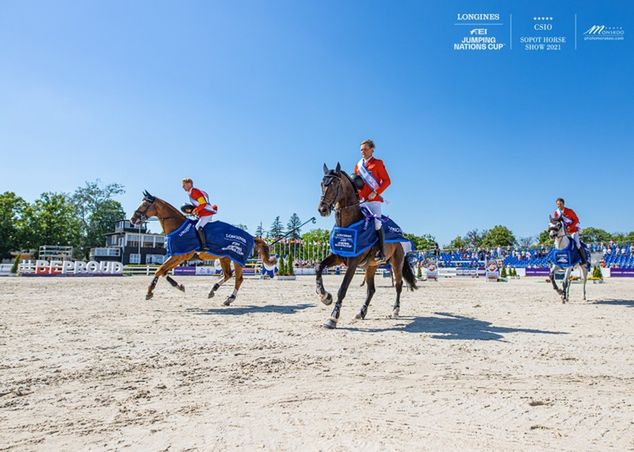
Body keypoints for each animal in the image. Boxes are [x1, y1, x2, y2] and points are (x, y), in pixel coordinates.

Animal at [130, 192, 274, 306]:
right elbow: (164, 271)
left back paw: (230, 299)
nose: (132, 220)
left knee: (238, 279)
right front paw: (179, 286)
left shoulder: (180, 256)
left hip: (237, 258)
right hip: (225, 258)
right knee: (228, 274)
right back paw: (213, 290)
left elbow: (159, 270)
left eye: (144, 205)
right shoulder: (177, 256)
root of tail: (250, 236)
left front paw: (150, 291)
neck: (177, 226)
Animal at [314, 162, 414, 328]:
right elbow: (318, 267)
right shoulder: (338, 257)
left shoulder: (353, 262)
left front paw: (333, 318)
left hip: (396, 263)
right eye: (322, 184)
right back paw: (361, 312)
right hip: (371, 266)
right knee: (371, 290)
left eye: (334, 184)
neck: (348, 225)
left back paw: (395, 310)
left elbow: (343, 288)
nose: (322, 209)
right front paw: (325, 296)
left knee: (398, 285)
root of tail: (400, 232)